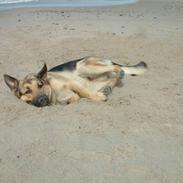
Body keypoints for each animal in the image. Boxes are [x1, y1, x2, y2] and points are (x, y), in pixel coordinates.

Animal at [3, 56, 147, 107]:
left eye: (40, 85)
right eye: (27, 91)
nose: (42, 99)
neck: (53, 91)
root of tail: (108, 59)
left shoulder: (72, 83)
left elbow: (84, 92)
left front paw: (98, 97)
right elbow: (76, 96)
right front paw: (69, 100)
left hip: (85, 67)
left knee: (117, 69)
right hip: (96, 80)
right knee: (114, 78)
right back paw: (107, 88)